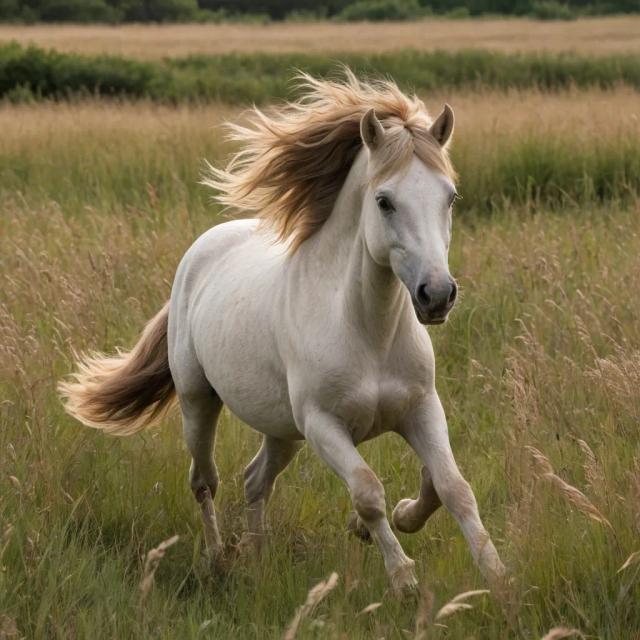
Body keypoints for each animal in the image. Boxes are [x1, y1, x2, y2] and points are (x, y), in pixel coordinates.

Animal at [59, 70, 505, 595]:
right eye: (384, 201)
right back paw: (219, 559)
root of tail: (202, 251)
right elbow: (368, 491)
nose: (436, 295)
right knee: (205, 480)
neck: (366, 331)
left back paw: (257, 555)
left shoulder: (420, 409)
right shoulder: (323, 426)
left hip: (281, 429)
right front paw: (403, 579)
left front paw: (497, 577)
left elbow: (452, 487)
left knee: (256, 480)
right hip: (200, 402)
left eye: (450, 197)